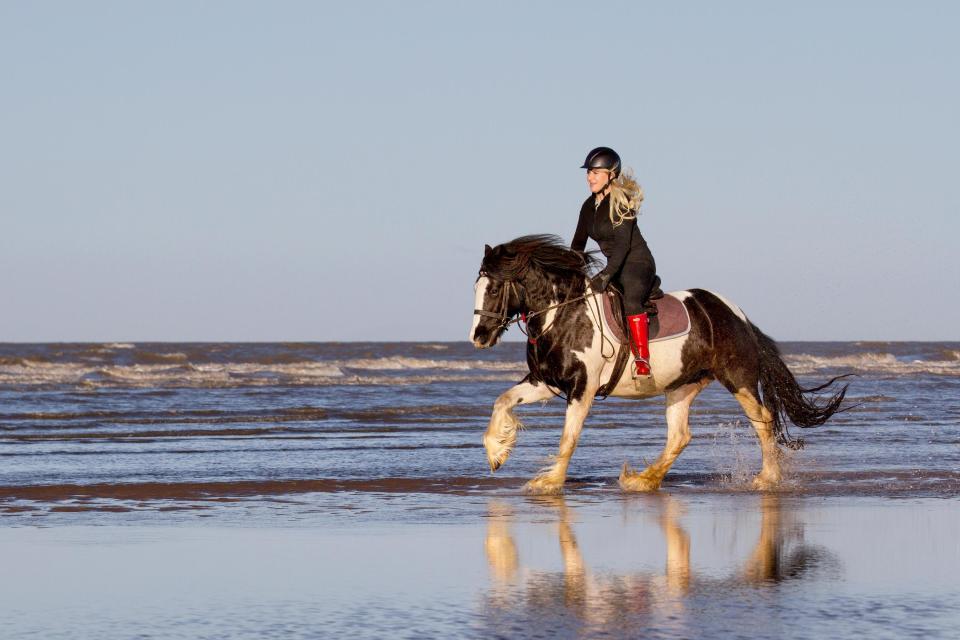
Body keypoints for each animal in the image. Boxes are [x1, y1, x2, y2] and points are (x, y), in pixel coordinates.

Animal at [468, 235, 844, 496]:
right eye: (477, 285)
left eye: (495, 288)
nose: (478, 336)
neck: (563, 315)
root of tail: (737, 315)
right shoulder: (545, 382)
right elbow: (502, 400)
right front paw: (497, 453)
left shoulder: (582, 389)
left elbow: (568, 437)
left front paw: (549, 482)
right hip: (681, 386)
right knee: (680, 435)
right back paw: (642, 480)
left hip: (738, 379)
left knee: (763, 421)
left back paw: (766, 478)